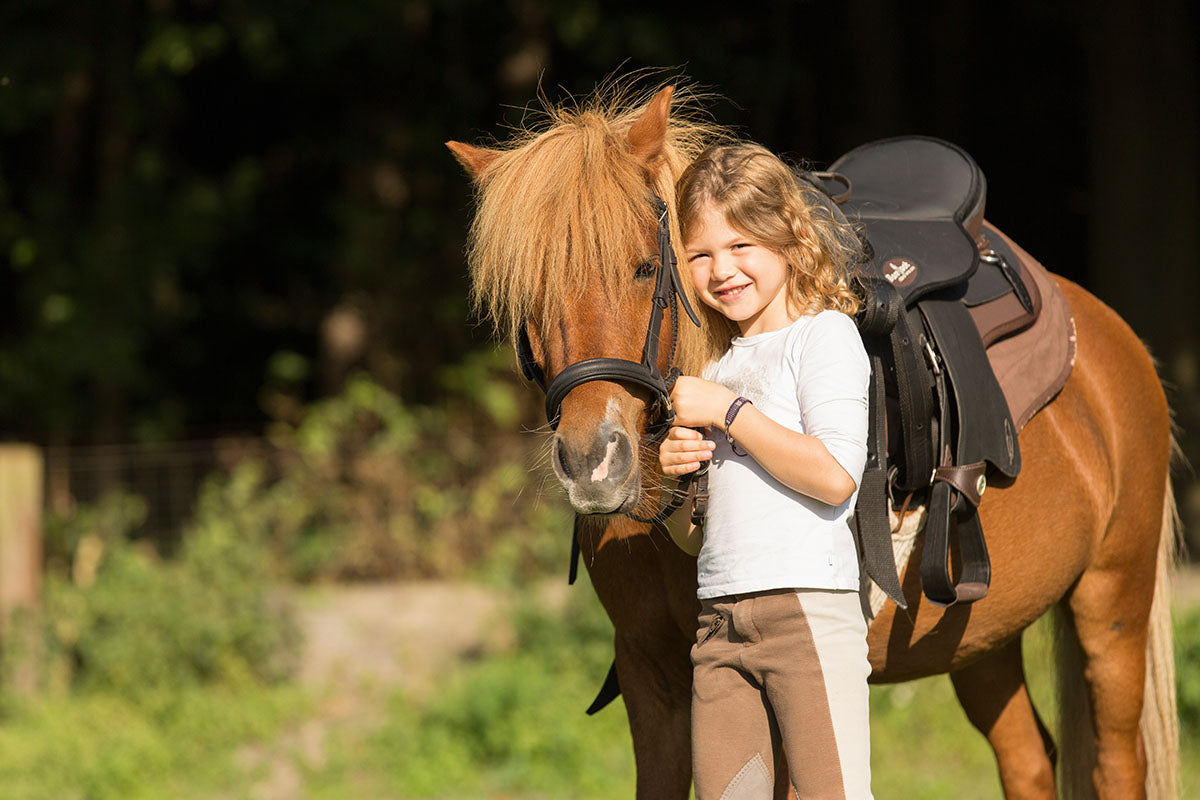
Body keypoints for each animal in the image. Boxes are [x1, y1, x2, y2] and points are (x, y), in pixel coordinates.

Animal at [446, 84, 1176, 796]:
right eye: (526, 293)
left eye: (645, 269)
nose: (593, 461)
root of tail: (1110, 336)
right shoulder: (652, 672)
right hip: (982, 637)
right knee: (1029, 762)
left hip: (1113, 601)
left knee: (1117, 763)